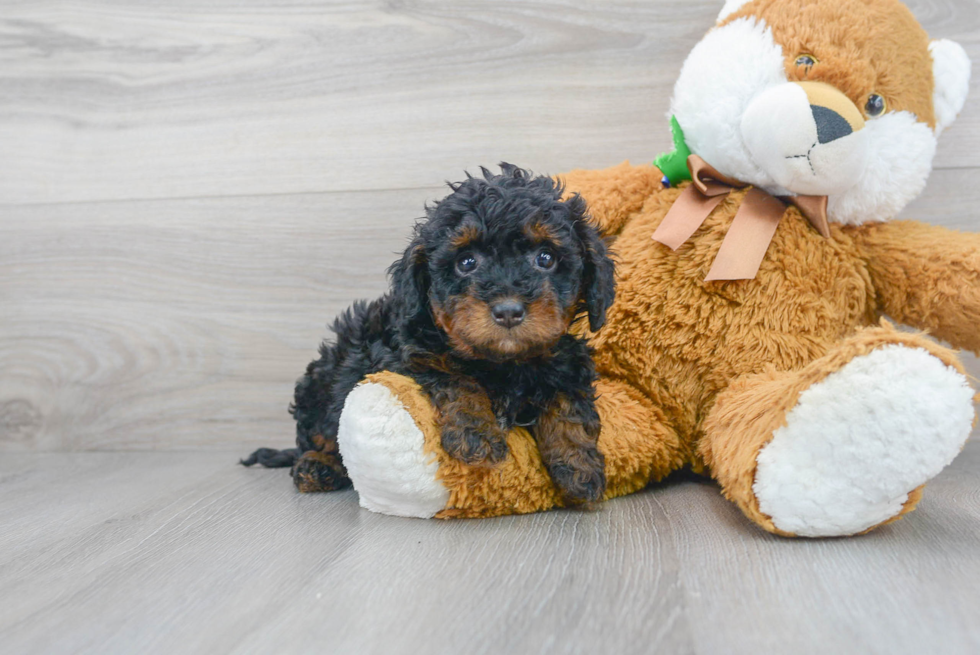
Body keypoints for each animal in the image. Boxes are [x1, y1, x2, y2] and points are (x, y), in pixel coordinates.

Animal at [243, 164, 612, 502]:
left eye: (546, 258)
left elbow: (569, 402)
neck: (503, 363)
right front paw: (475, 434)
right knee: (320, 435)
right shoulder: (409, 356)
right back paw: (317, 466)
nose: (508, 310)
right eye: (467, 262)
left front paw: (580, 466)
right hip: (324, 382)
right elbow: (457, 379)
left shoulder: (565, 359)